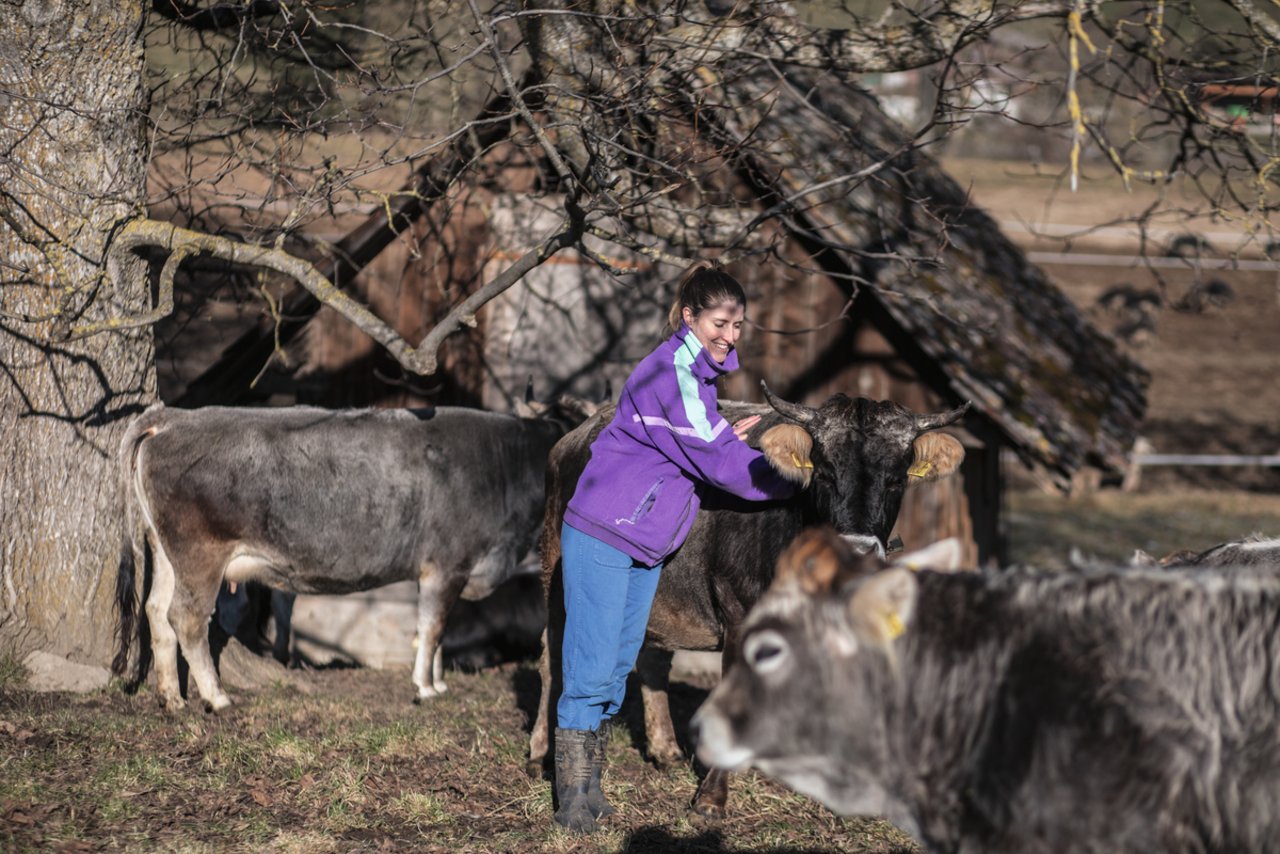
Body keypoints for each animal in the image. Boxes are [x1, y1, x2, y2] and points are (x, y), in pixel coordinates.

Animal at [110, 402, 588, 717]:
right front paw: (425, 688)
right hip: (200, 554)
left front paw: (436, 680)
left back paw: (172, 697)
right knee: (186, 617)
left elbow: (431, 630)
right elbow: (433, 628)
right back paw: (216, 696)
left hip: (165, 550)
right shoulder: (448, 563)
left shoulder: (437, 571)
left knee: (156, 610)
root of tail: (173, 416)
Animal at [524, 384, 962, 819]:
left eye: (896, 480)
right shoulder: (739, 613)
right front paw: (711, 798)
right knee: (553, 659)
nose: (857, 550)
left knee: (651, 658)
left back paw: (666, 752)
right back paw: (541, 753)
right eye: (823, 473)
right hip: (556, 575)